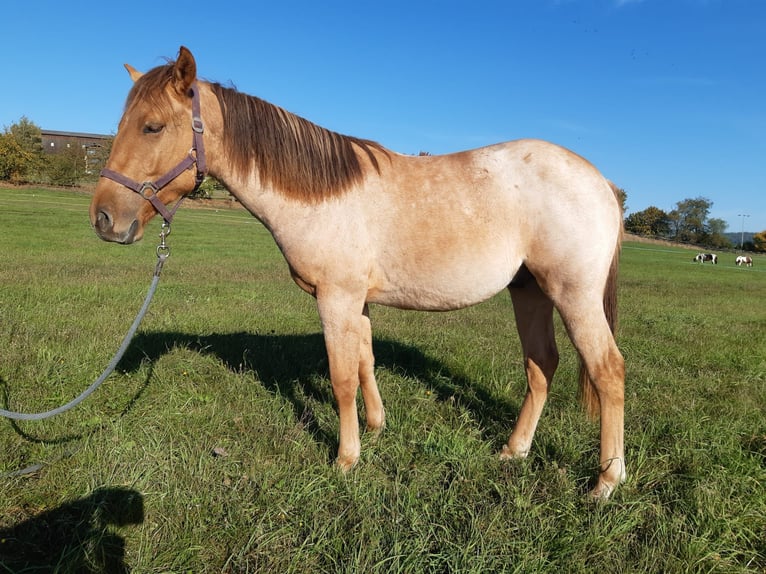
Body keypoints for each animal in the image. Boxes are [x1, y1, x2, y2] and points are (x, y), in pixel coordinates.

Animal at [90, 47, 626, 499]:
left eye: (153, 127)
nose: (104, 219)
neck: (319, 194)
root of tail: (601, 181)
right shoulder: (358, 301)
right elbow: (366, 361)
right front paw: (375, 427)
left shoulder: (337, 298)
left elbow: (342, 375)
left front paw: (346, 459)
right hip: (528, 291)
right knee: (541, 366)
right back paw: (514, 451)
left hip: (573, 295)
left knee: (608, 372)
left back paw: (605, 482)